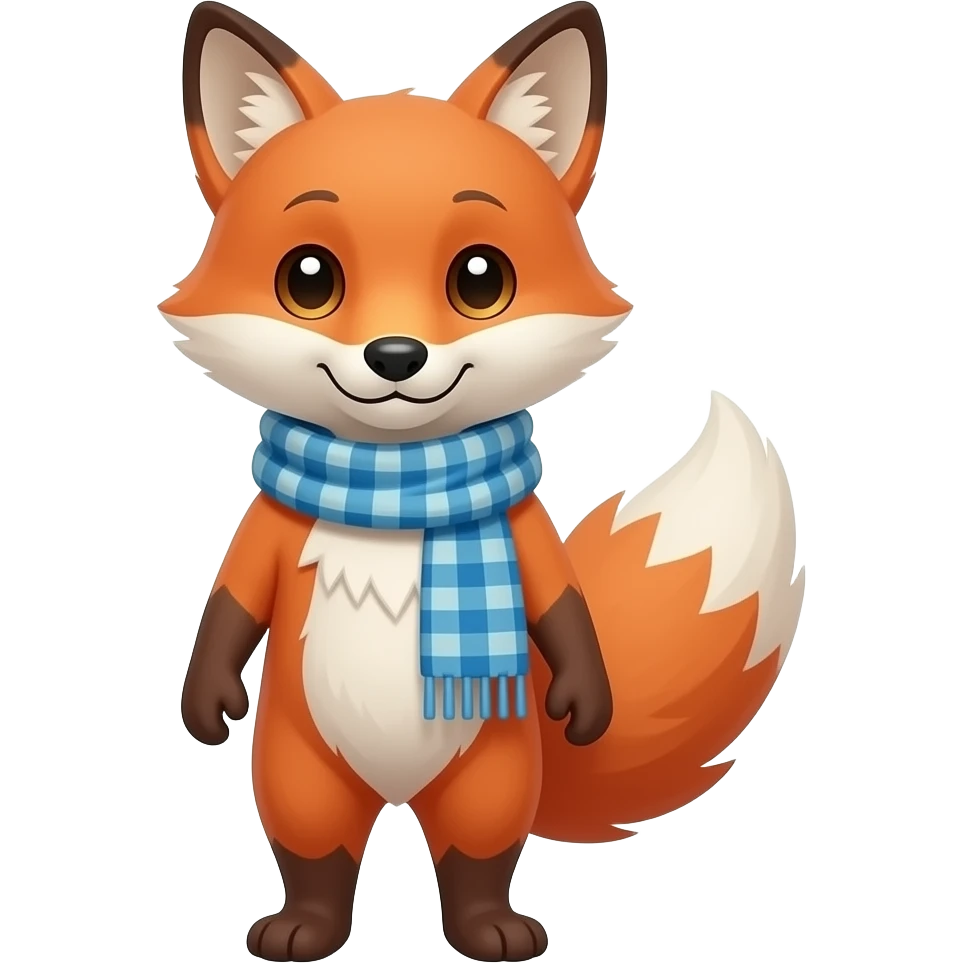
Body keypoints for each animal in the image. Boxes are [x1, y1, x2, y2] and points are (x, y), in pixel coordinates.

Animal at [162, 3, 807, 961]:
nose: (395, 355)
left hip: (493, 775)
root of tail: (396, 792)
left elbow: (563, 609)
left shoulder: (522, 534)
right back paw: (304, 926)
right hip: (297, 770)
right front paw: (207, 700)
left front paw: (586, 700)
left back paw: (489, 928)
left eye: (481, 279)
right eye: (307, 279)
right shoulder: (267, 528)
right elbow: (232, 605)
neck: (398, 482)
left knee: (476, 854)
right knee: (315, 849)